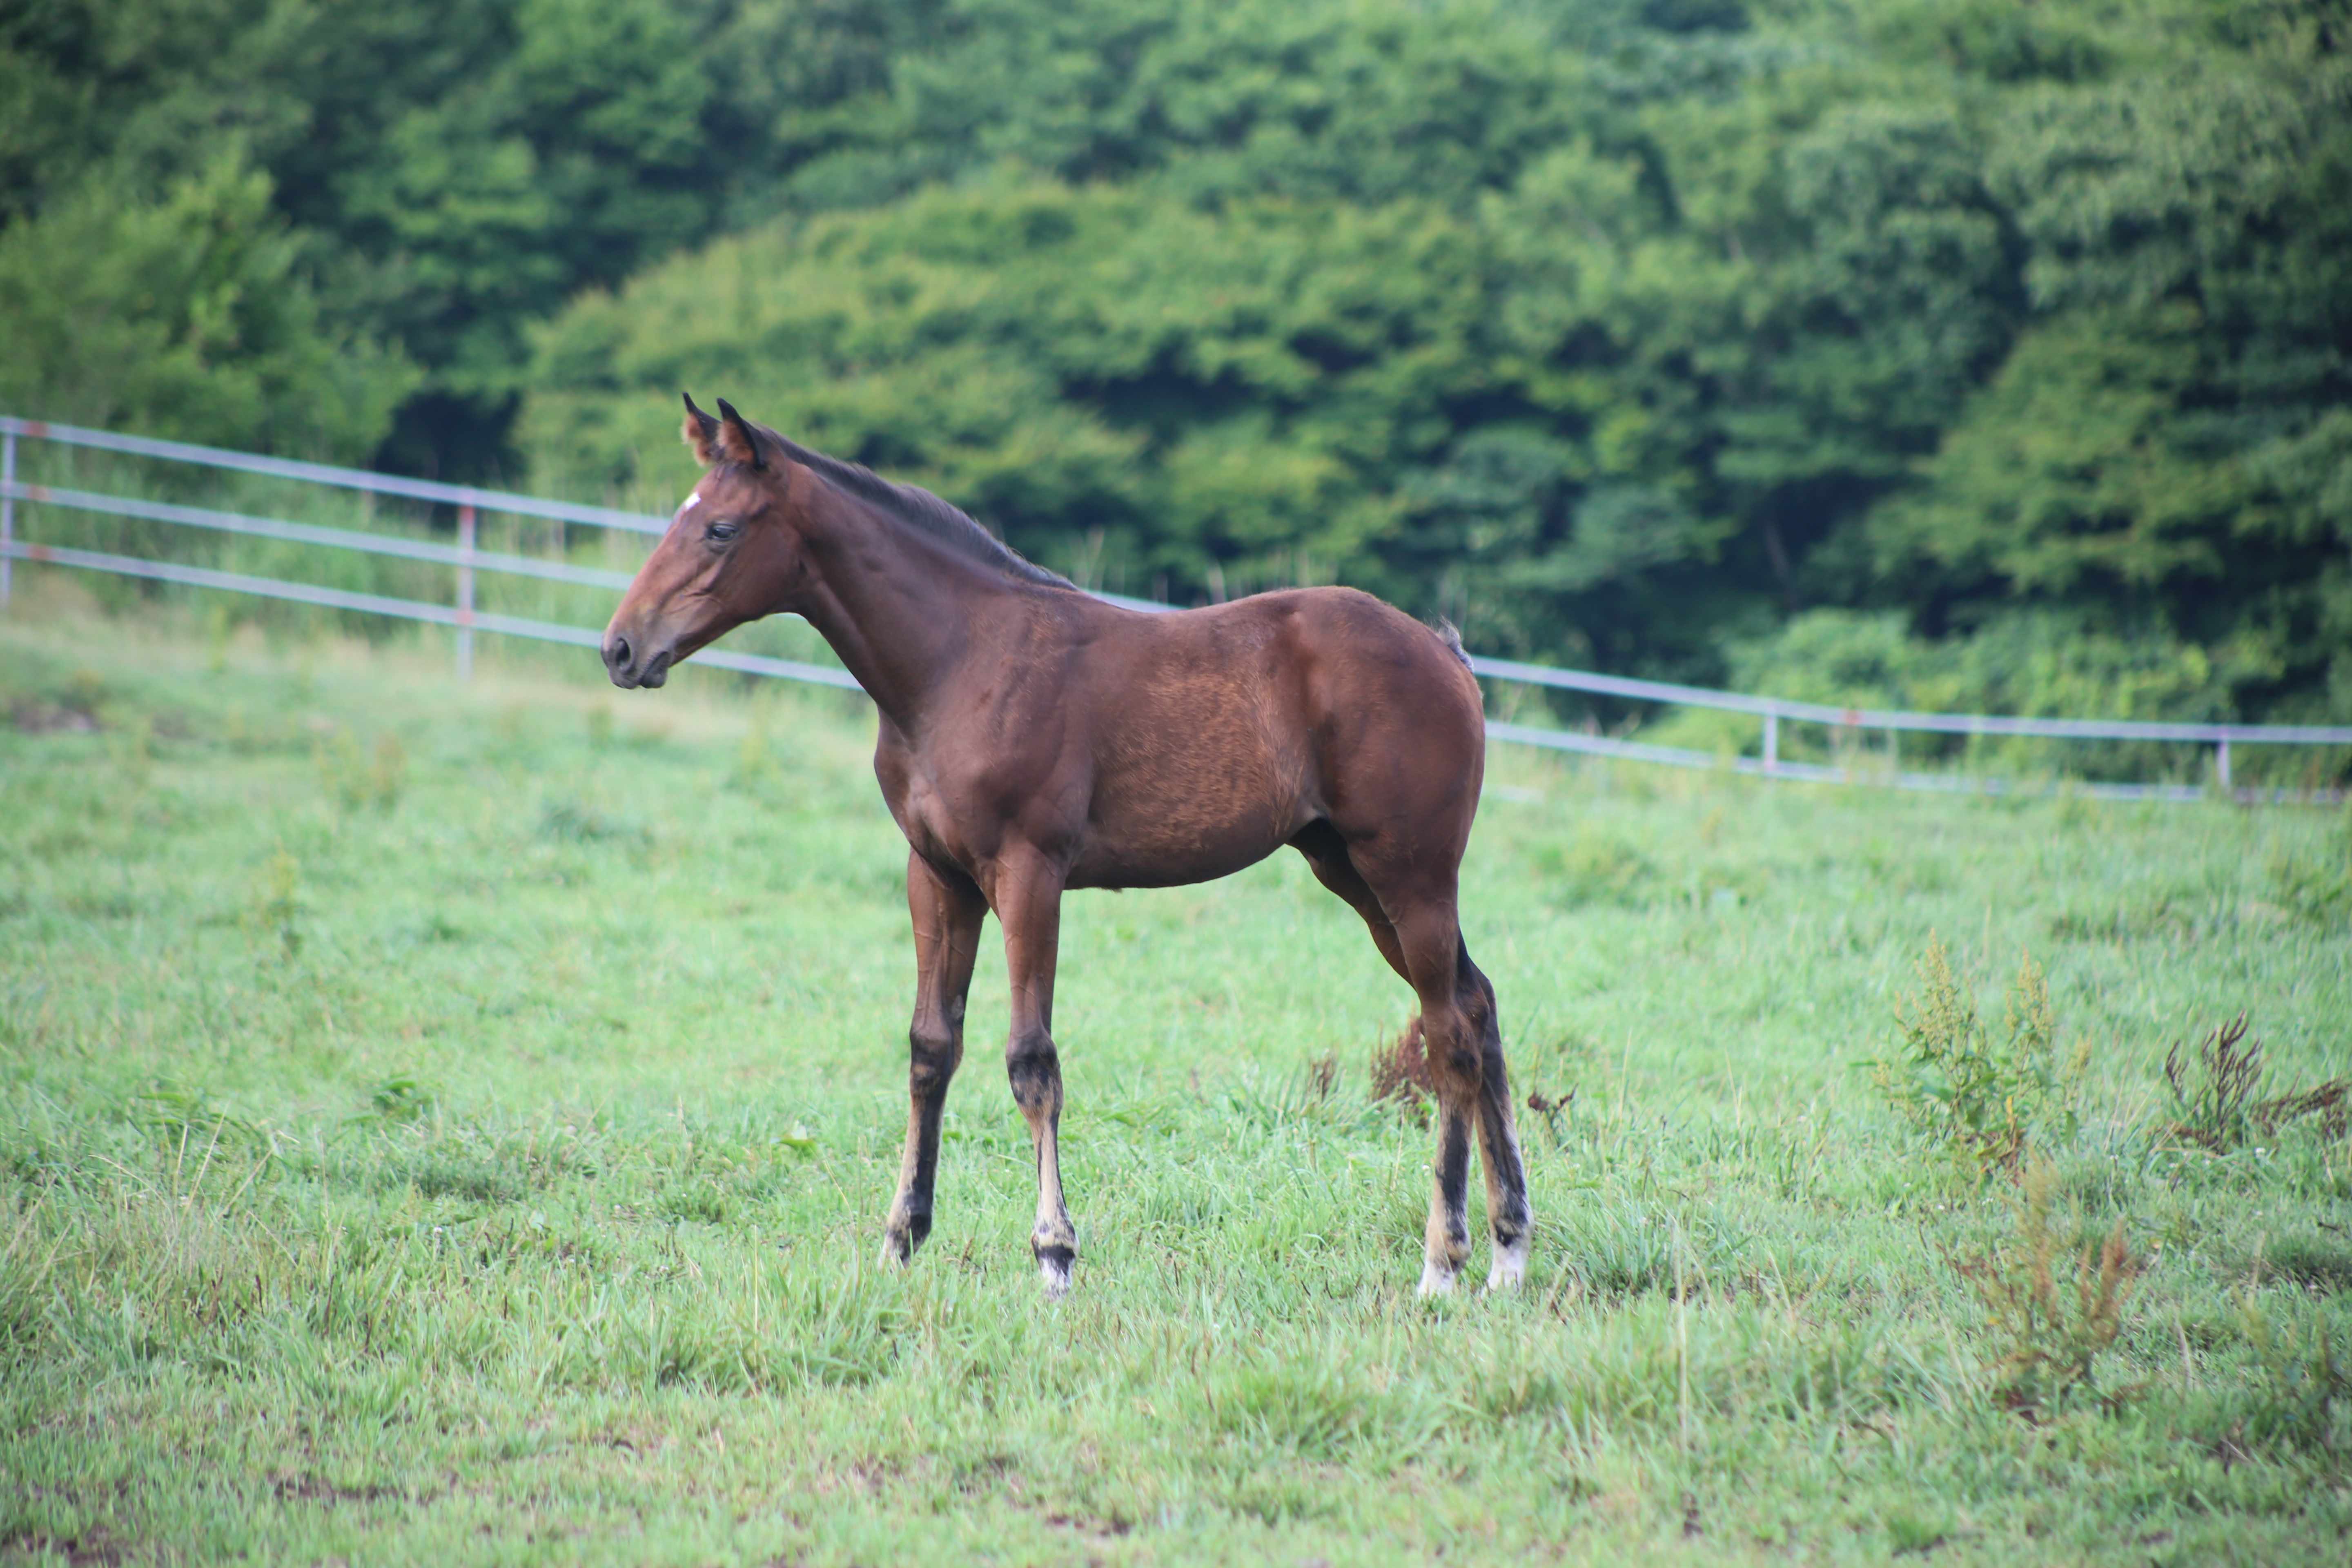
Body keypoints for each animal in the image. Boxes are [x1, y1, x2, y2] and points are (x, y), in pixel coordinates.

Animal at [597, 395, 1533, 1297]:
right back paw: (1509, 1251)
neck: (957, 664)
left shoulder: (1028, 873)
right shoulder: (937, 876)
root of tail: (1446, 656)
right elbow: (931, 1050)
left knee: (1446, 1033)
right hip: (1350, 870)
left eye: (721, 529)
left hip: (1409, 873)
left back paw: (1442, 1263)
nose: (620, 648)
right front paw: (900, 1243)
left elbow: (1030, 1059)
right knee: (1477, 1005)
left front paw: (1054, 1255)